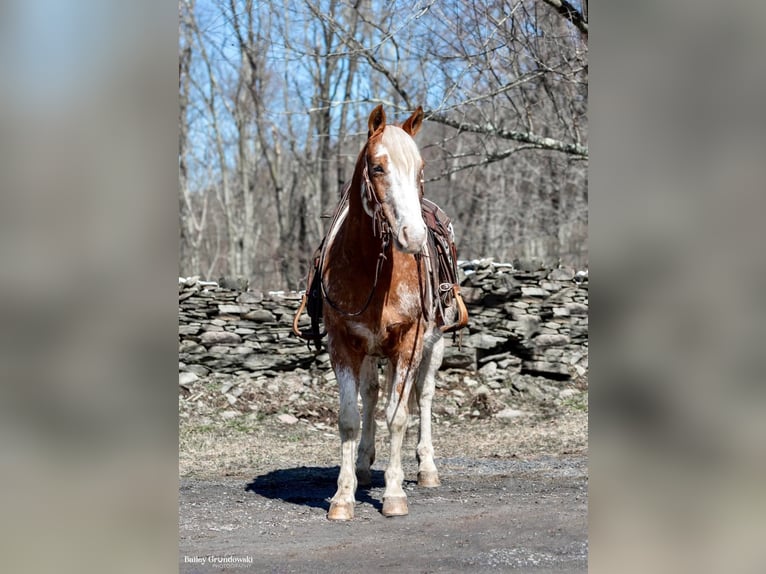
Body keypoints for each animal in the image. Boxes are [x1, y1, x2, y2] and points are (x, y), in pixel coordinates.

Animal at [316, 104, 460, 520]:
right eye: (378, 167)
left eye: (420, 168)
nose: (413, 236)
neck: (371, 269)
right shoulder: (344, 344)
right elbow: (350, 418)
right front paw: (343, 497)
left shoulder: (409, 343)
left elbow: (398, 417)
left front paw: (394, 496)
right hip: (371, 352)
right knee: (372, 395)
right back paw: (364, 465)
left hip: (433, 345)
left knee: (422, 398)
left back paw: (427, 468)